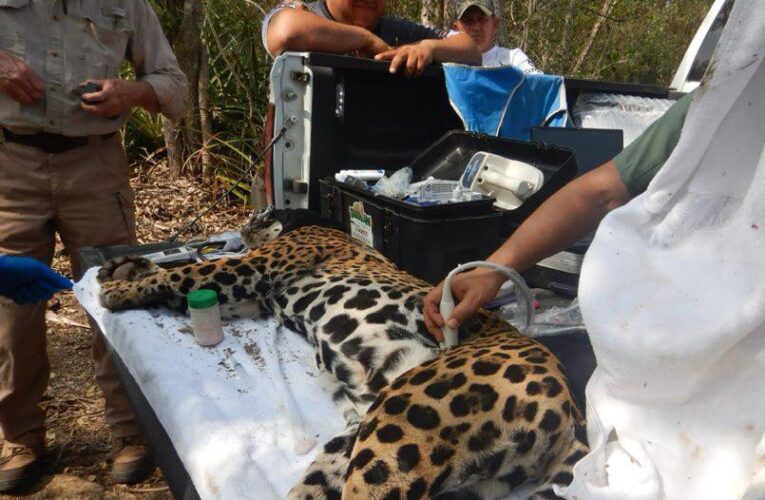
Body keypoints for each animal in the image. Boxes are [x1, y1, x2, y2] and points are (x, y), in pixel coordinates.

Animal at [97, 208, 587, 499]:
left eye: (260, 212)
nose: (242, 227)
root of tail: (572, 412)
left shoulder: (252, 270)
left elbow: (186, 272)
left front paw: (117, 289)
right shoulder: (251, 299)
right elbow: (181, 279)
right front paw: (125, 268)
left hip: (402, 425)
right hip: (350, 447)